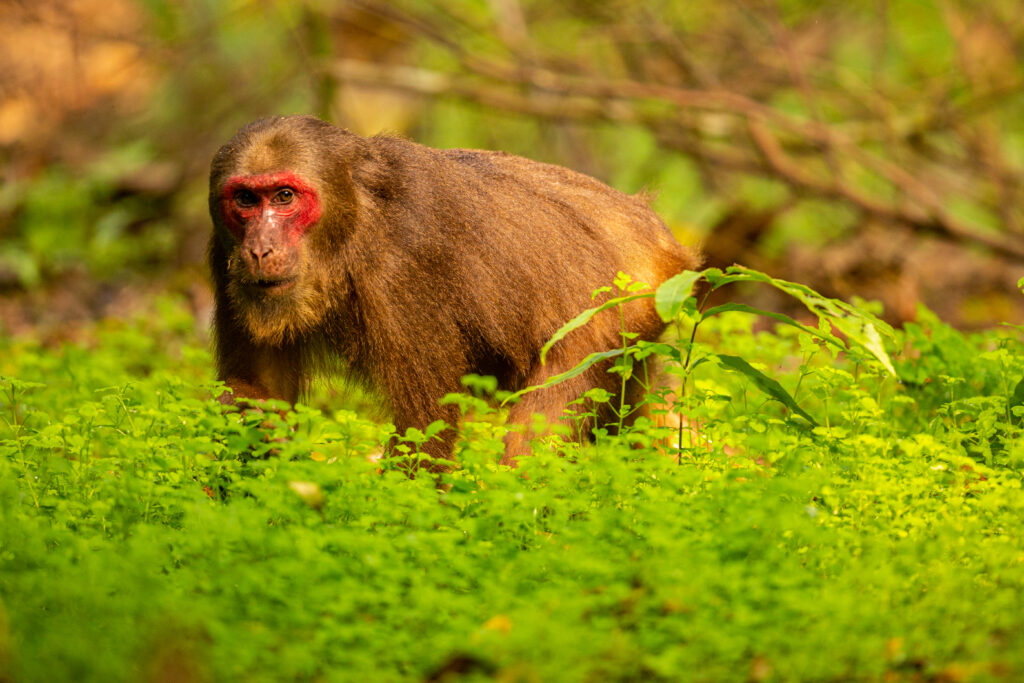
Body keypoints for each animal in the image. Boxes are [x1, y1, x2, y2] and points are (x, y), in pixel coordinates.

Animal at [208, 115, 698, 467]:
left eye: (285, 197)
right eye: (246, 200)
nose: (259, 248)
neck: (356, 225)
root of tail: (658, 241)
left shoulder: (405, 269)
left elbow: (423, 432)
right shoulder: (221, 257)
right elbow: (261, 395)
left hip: (610, 317)